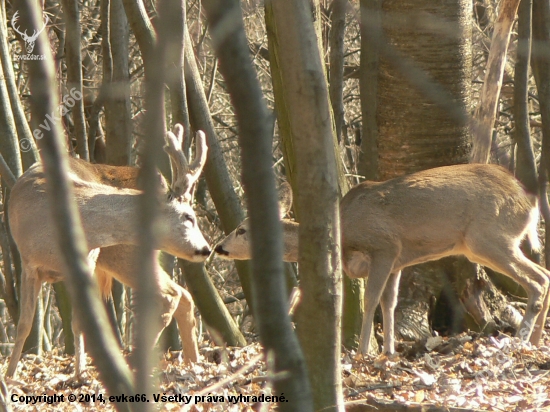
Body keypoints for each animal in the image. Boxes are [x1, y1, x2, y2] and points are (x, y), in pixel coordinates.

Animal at [5, 124, 210, 378]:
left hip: (123, 254)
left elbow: (77, 322)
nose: (206, 249)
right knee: (182, 294)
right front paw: (10, 374)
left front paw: (79, 372)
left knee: (172, 294)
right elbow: (24, 324)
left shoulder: (87, 262)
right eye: (188, 217)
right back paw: (193, 361)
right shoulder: (28, 262)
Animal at [216, 164, 550, 354]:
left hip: (489, 237)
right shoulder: (398, 261)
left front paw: (364, 351)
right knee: (545, 275)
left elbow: (371, 300)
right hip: (488, 242)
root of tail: (530, 203)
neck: (345, 231)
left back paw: (521, 338)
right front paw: (388, 350)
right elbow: (389, 303)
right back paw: (535, 340)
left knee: (535, 280)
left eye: (241, 229)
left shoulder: (385, 246)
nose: (219, 247)